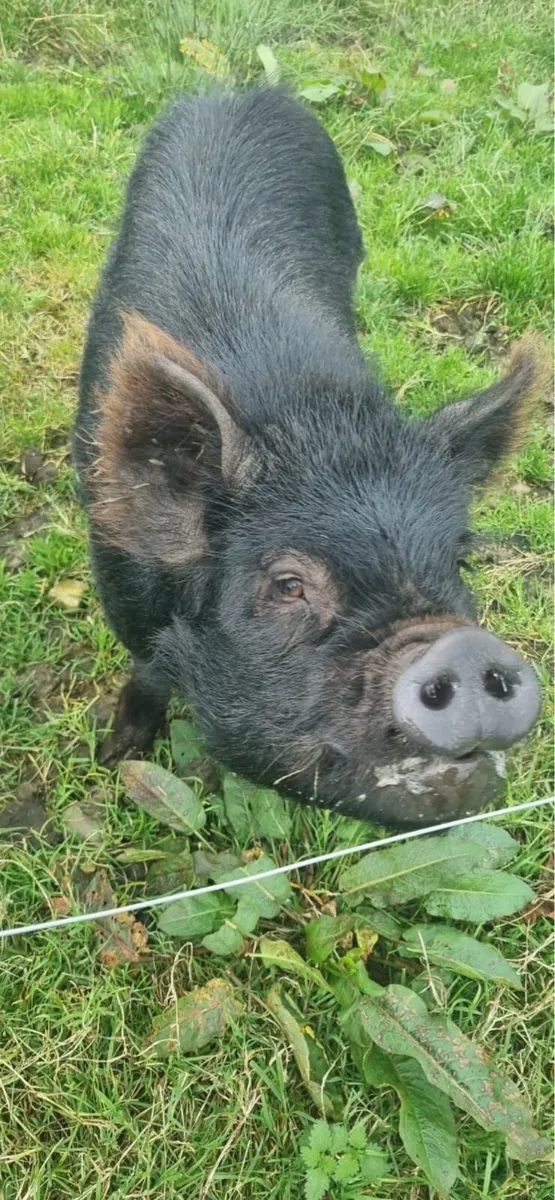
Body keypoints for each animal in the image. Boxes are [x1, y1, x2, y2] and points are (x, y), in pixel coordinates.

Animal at [74, 86, 543, 828]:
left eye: (457, 561)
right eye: (288, 584)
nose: (464, 646)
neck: (314, 418)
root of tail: (238, 86)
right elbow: (145, 676)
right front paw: (117, 755)